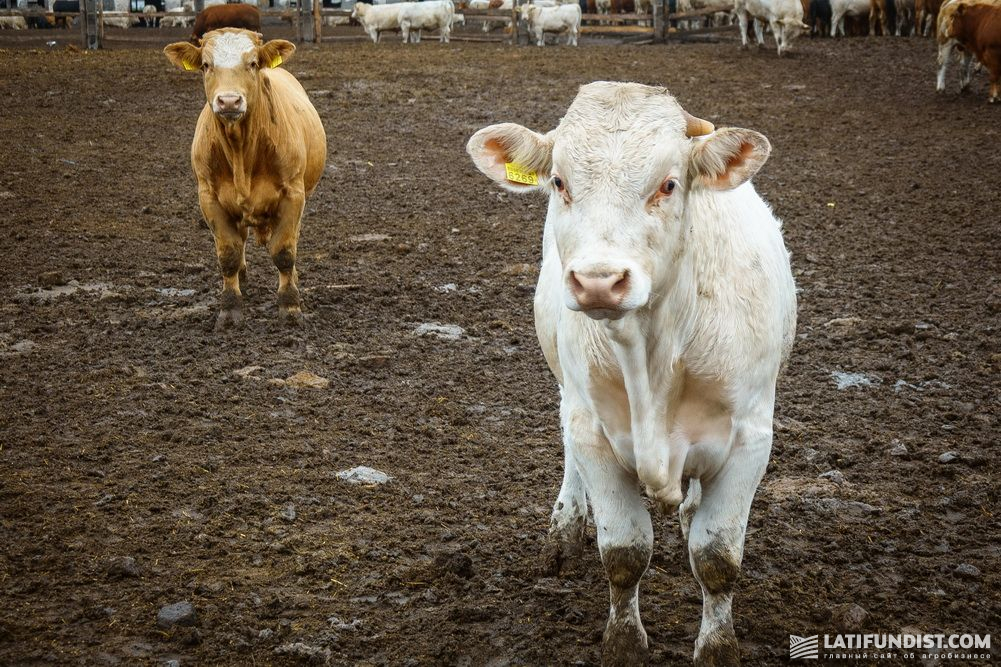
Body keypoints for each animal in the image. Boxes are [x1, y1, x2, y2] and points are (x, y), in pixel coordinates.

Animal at [164, 28, 326, 326]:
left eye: (252, 63)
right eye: (206, 65)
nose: (229, 101)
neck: (241, 151)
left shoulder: (293, 194)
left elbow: (284, 252)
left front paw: (290, 306)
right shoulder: (209, 198)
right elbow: (228, 254)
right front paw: (229, 309)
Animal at [466, 80, 796, 660]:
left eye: (668, 184)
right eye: (559, 181)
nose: (598, 281)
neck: (653, 358)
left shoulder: (751, 439)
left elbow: (717, 560)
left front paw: (717, 648)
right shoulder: (594, 431)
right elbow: (623, 553)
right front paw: (623, 642)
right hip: (568, 389)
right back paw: (564, 529)